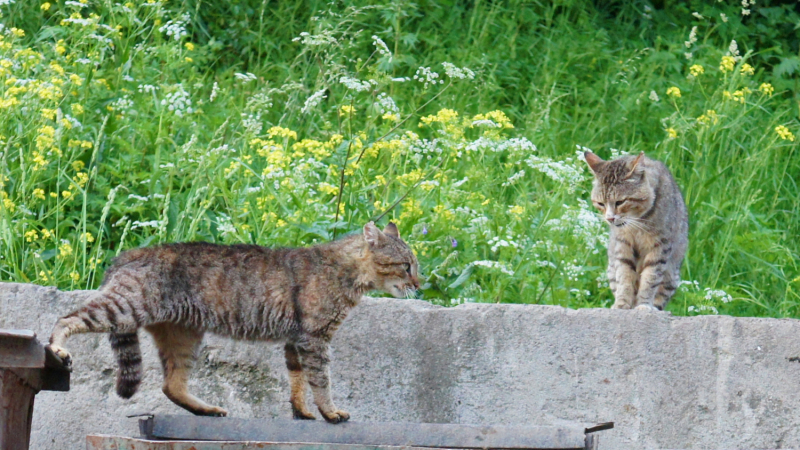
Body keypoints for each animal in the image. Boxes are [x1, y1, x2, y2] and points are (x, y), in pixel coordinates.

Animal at [47, 221, 418, 422]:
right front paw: (330, 412)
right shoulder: (314, 339)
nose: (420, 283)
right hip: (124, 308)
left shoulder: (296, 341)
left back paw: (207, 410)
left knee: (172, 385)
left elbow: (297, 383)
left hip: (183, 338)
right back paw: (58, 349)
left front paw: (302, 412)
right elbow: (321, 383)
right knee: (66, 317)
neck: (348, 273)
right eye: (406, 265)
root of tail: (127, 254)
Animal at [580, 151, 688, 310]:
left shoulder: (660, 246)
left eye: (620, 202)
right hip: (611, 269)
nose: (609, 218)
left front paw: (644, 305)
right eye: (601, 203)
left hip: (671, 276)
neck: (637, 224)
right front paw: (621, 304)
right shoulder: (623, 244)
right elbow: (624, 277)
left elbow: (650, 278)